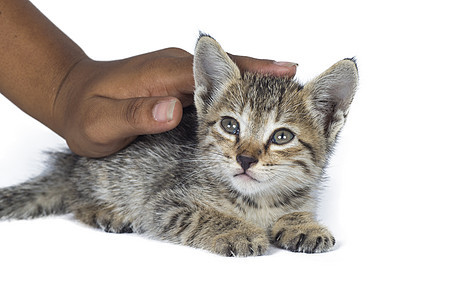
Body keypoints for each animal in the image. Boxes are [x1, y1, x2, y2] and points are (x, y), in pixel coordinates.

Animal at [0, 34, 360, 255]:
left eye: (282, 136)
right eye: (230, 126)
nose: (245, 159)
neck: (257, 201)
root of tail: (71, 163)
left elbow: (298, 209)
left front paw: (304, 224)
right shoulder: (164, 203)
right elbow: (206, 215)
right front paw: (238, 230)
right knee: (78, 201)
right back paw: (107, 212)